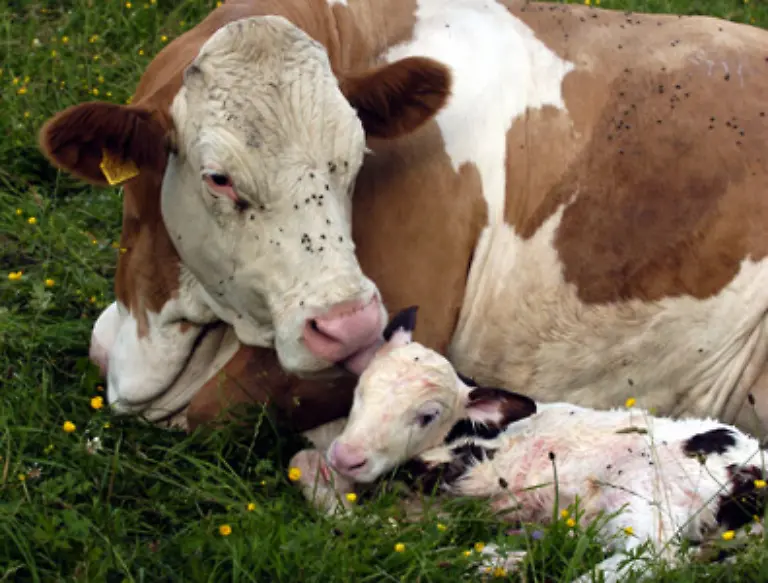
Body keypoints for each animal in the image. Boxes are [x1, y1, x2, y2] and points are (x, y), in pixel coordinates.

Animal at [290, 307, 768, 583]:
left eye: (427, 415)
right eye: (360, 391)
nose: (348, 457)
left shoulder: (449, 483)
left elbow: (373, 524)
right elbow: (306, 460)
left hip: (648, 500)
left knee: (650, 560)